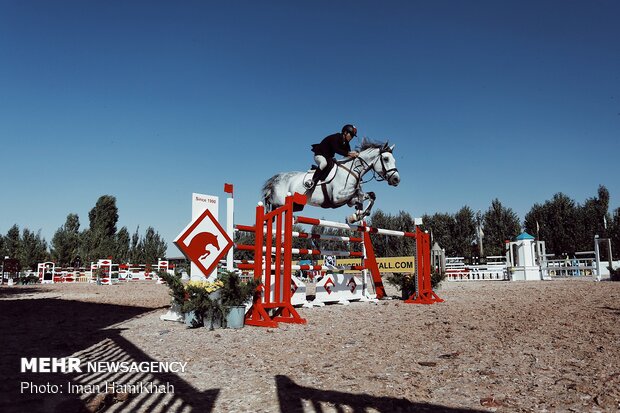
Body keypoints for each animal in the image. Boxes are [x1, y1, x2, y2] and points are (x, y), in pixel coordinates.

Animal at [262, 139, 402, 224]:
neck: (352, 170)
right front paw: (356, 215)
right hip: (280, 201)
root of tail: (277, 178)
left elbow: (370, 196)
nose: (396, 179)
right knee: (270, 204)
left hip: (297, 205)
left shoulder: (350, 198)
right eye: (386, 159)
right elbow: (359, 197)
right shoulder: (338, 197)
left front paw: (356, 216)